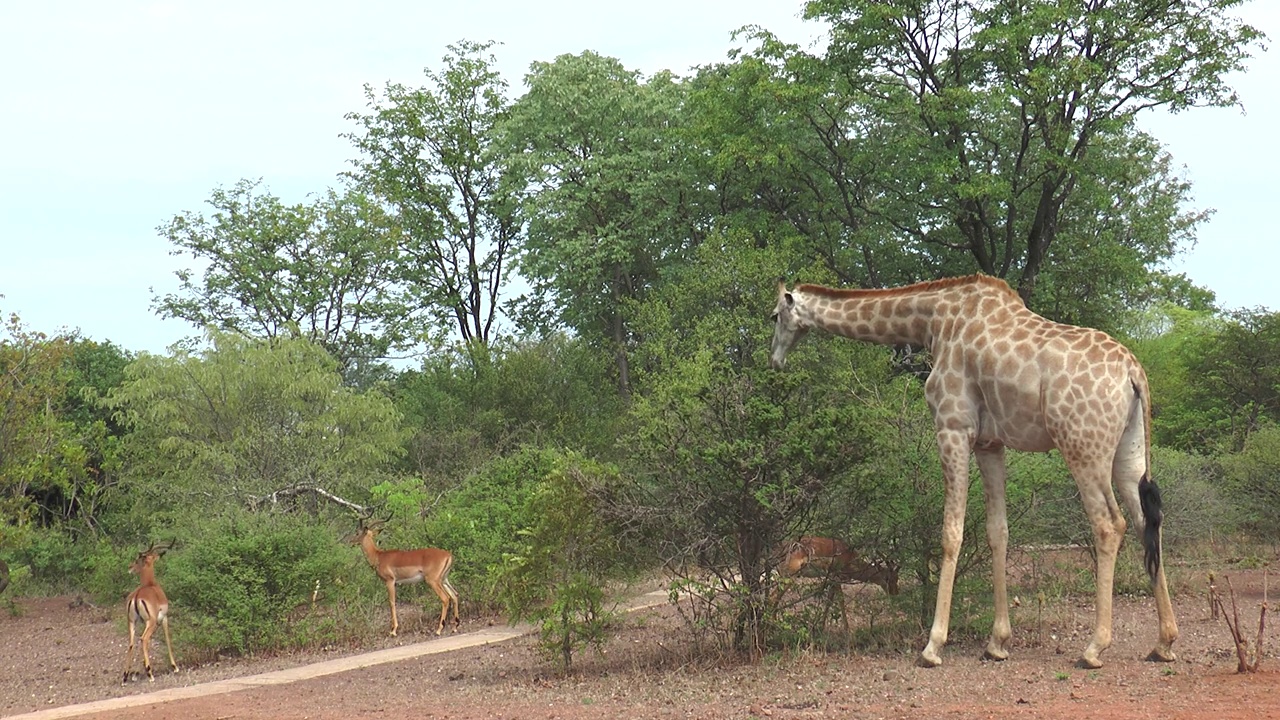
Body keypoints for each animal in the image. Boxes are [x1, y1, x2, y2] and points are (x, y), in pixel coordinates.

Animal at [768, 271, 1177, 666]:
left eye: (774, 316)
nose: (774, 360)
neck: (931, 322)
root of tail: (1133, 373)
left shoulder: (952, 427)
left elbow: (951, 532)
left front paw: (933, 646)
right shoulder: (989, 443)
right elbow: (998, 531)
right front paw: (997, 643)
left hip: (1082, 446)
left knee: (1109, 525)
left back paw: (1094, 648)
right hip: (1129, 452)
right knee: (1146, 522)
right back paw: (1164, 642)